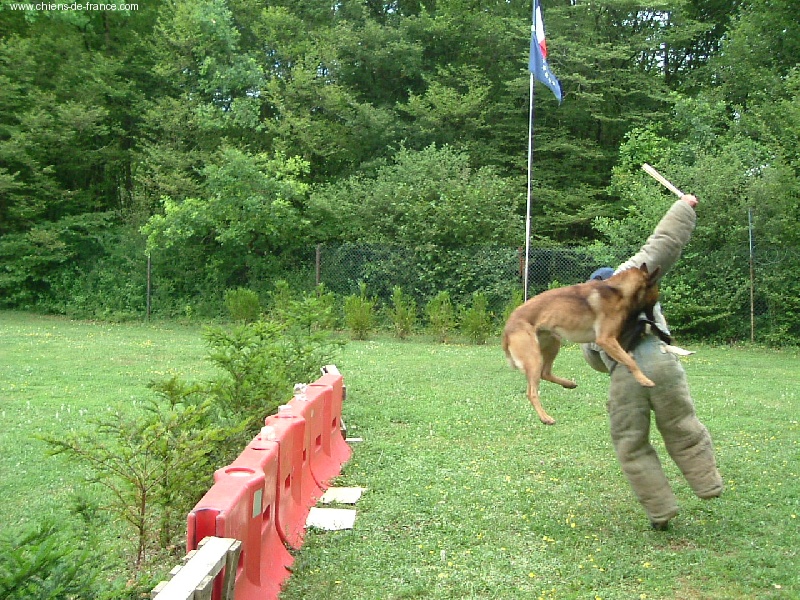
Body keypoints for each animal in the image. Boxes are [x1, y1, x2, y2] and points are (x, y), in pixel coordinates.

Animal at [504, 264, 660, 426]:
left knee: (545, 373)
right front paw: (644, 379)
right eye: (656, 297)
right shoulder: (606, 339)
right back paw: (545, 417)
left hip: (552, 345)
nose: (654, 320)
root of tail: (508, 325)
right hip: (533, 358)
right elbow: (630, 361)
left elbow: (627, 357)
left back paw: (568, 384)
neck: (619, 291)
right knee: (532, 392)